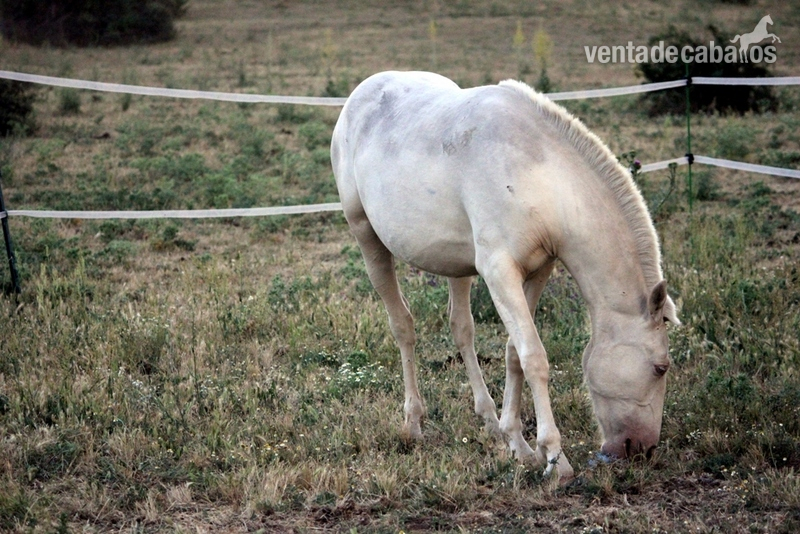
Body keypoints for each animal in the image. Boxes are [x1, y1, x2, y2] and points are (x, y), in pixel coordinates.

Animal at [330, 71, 680, 481]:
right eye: (660, 368)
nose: (642, 450)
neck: (539, 174)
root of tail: (363, 91)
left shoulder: (539, 268)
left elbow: (514, 352)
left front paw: (517, 443)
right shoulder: (499, 271)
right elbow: (534, 357)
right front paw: (554, 458)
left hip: (455, 265)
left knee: (461, 328)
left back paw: (489, 421)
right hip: (367, 238)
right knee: (403, 326)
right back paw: (413, 422)